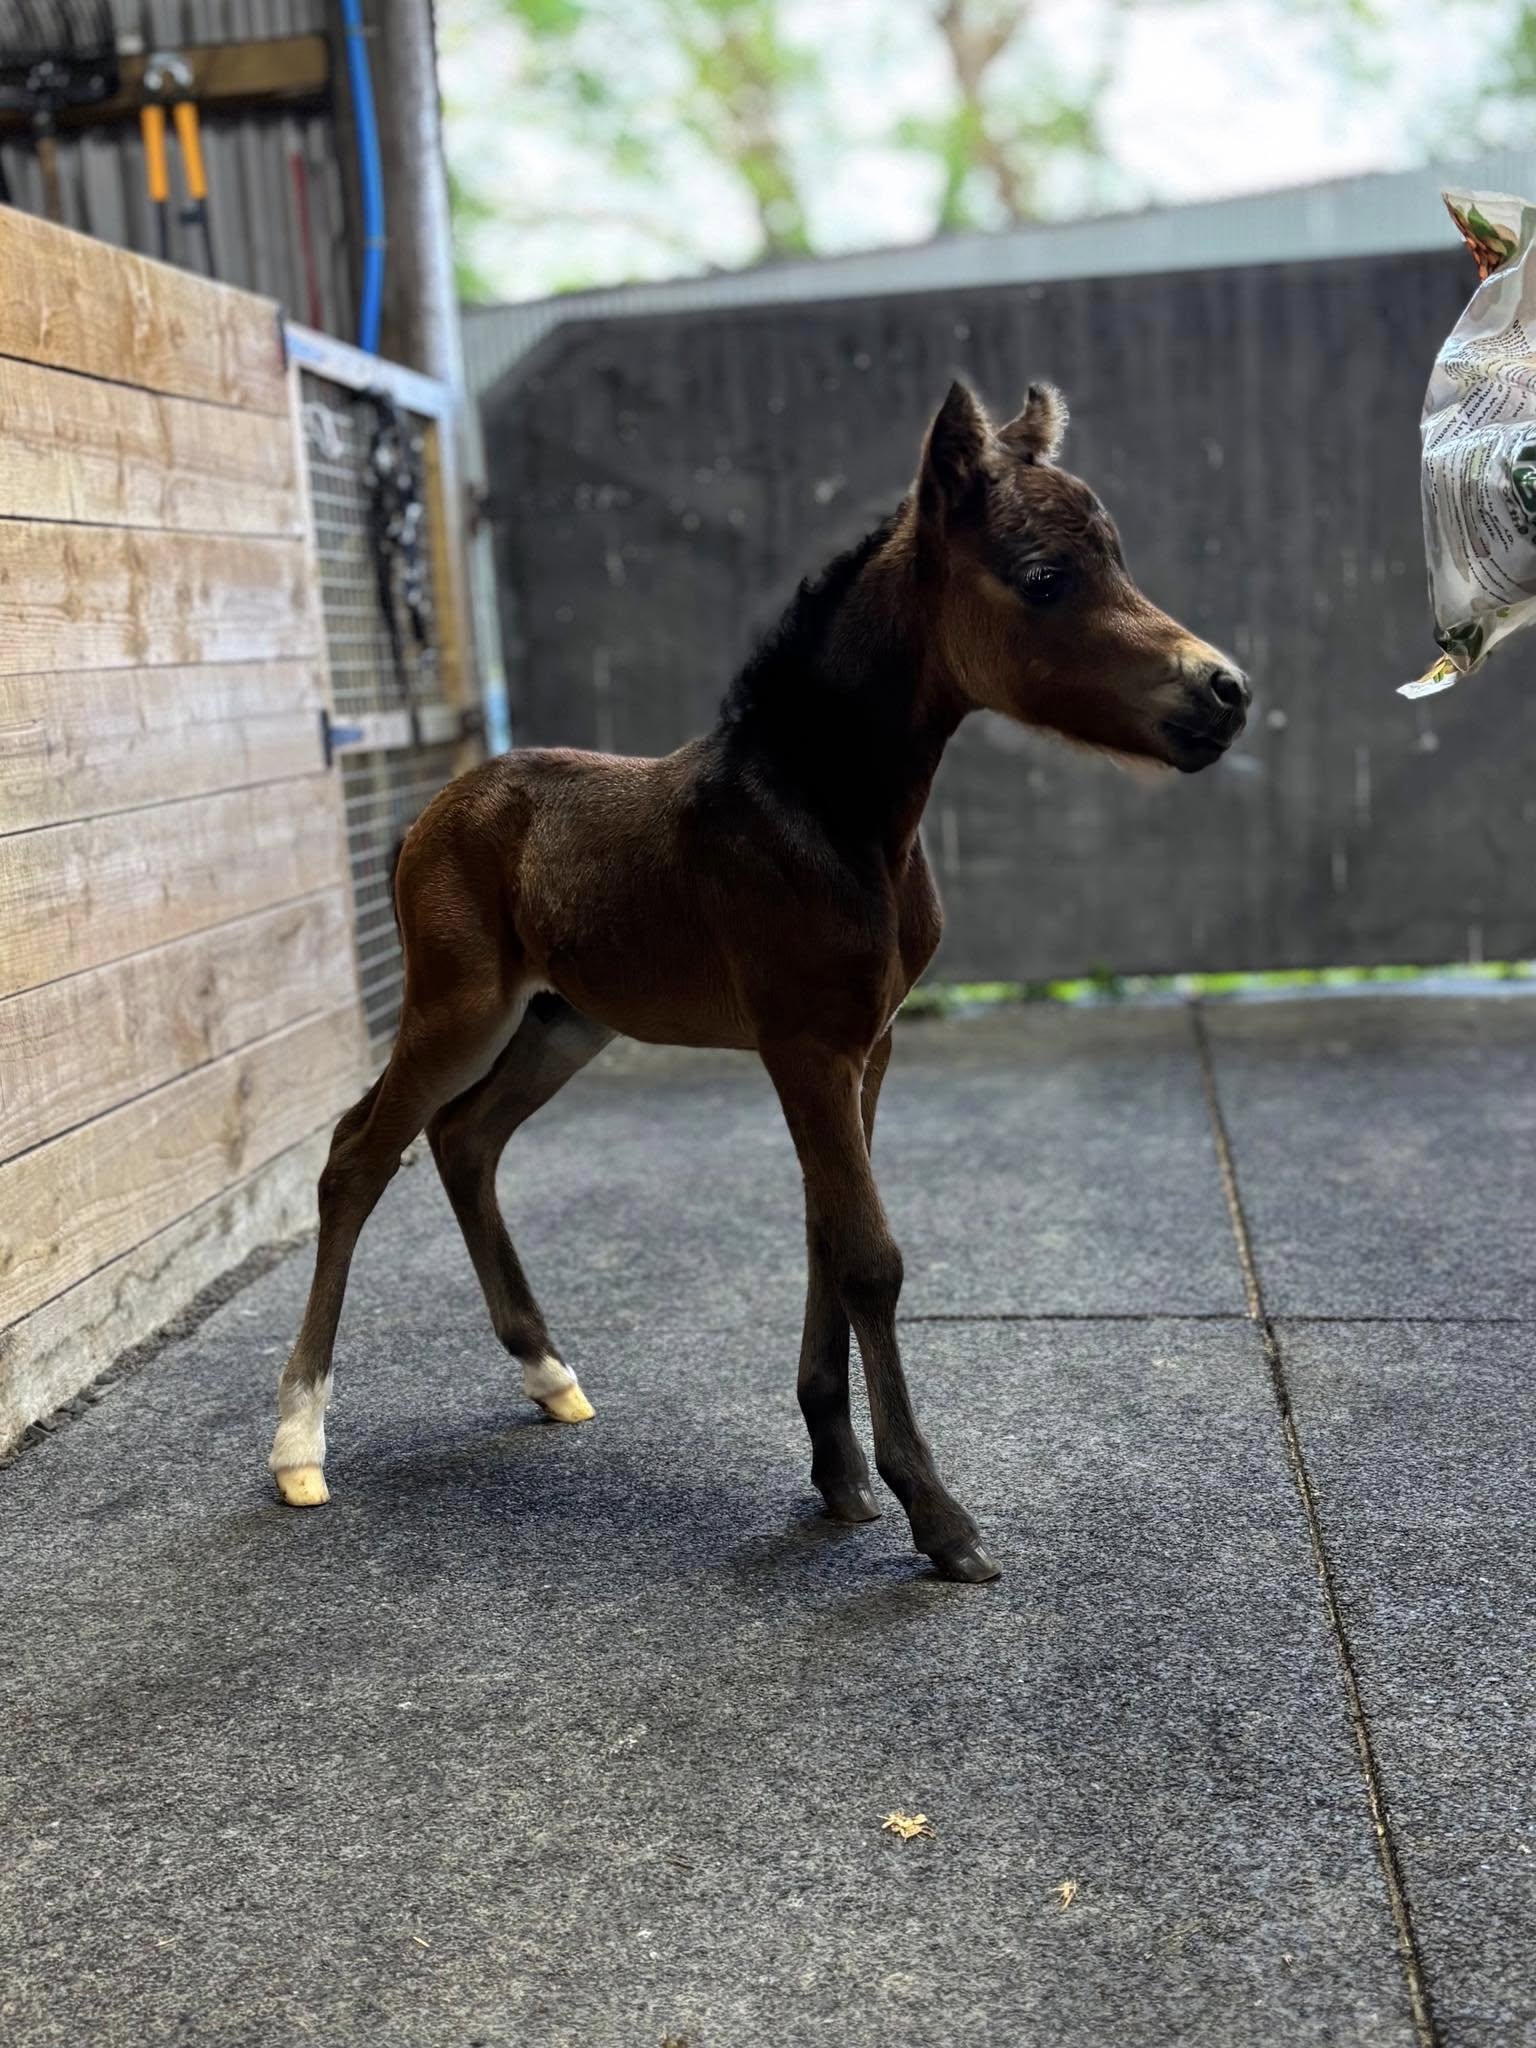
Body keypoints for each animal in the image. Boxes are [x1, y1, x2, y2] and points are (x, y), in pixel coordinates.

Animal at [268, 378, 1250, 1583]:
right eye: (1044, 577)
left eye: (1118, 555)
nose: (1225, 691)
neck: (828, 815)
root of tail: (428, 816)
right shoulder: (805, 1044)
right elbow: (869, 1256)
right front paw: (937, 1515)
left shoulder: (867, 1042)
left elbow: (828, 1230)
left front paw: (837, 1471)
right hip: (461, 1006)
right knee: (360, 1152)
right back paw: (300, 1438)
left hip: (562, 1021)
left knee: (465, 1138)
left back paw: (548, 1372)